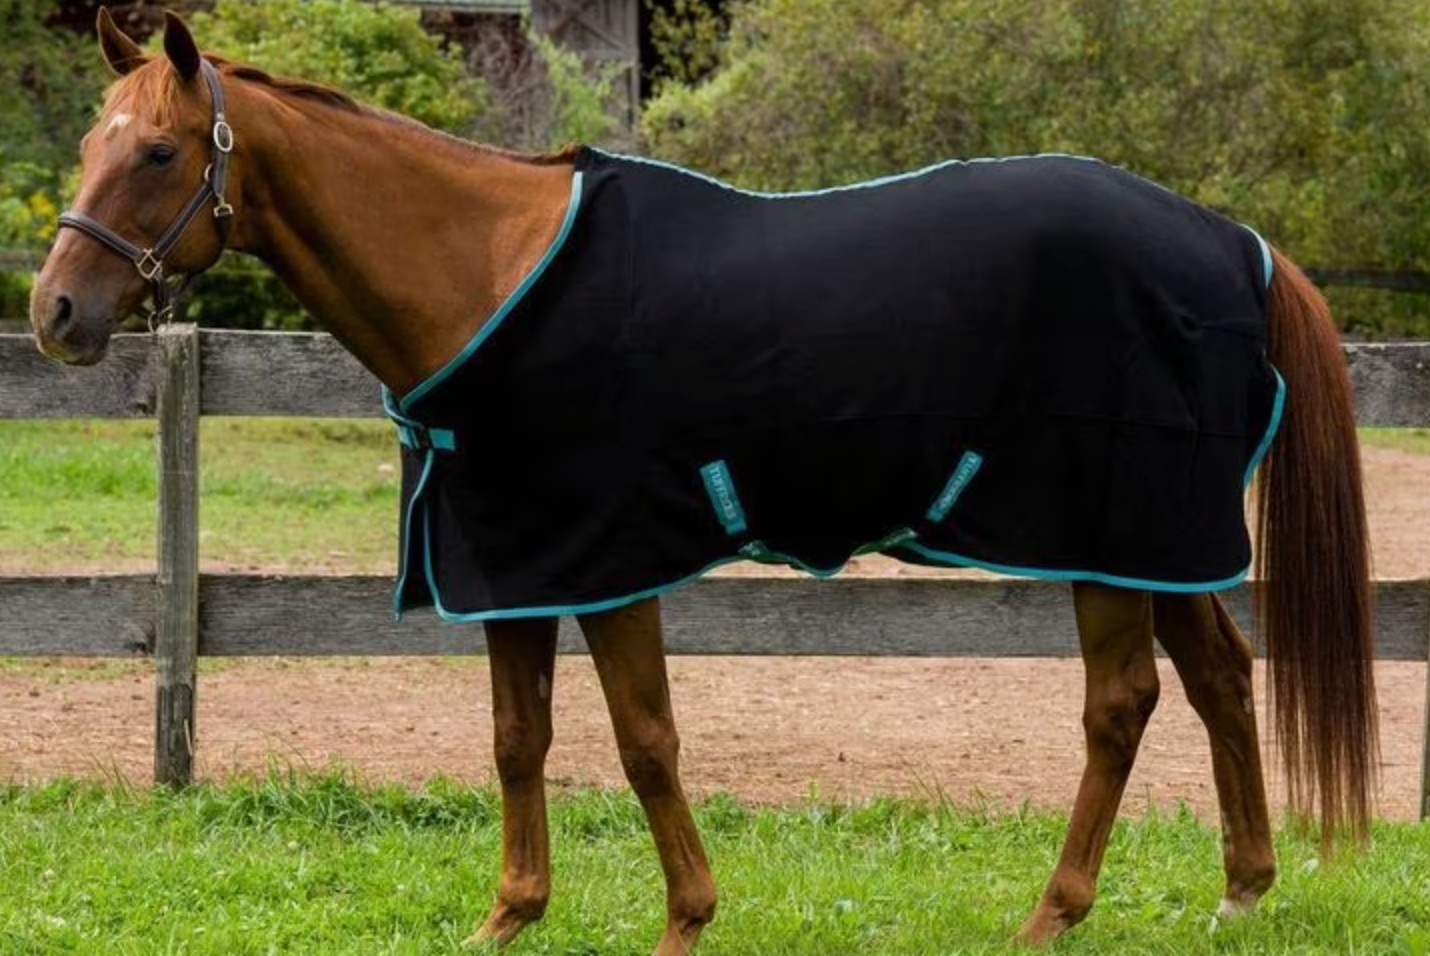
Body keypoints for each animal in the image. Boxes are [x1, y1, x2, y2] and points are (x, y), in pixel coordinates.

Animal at [29, 10, 1378, 954]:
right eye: (90, 143)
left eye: (159, 151)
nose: (55, 315)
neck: (485, 271)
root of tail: (1229, 238)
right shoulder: (511, 561)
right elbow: (519, 738)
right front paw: (509, 914)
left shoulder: (608, 556)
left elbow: (642, 738)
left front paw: (685, 914)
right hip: (1154, 537)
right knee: (1218, 677)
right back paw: (1238, 893)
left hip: (1101, 525)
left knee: (1120, 703)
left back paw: (1052, 909)